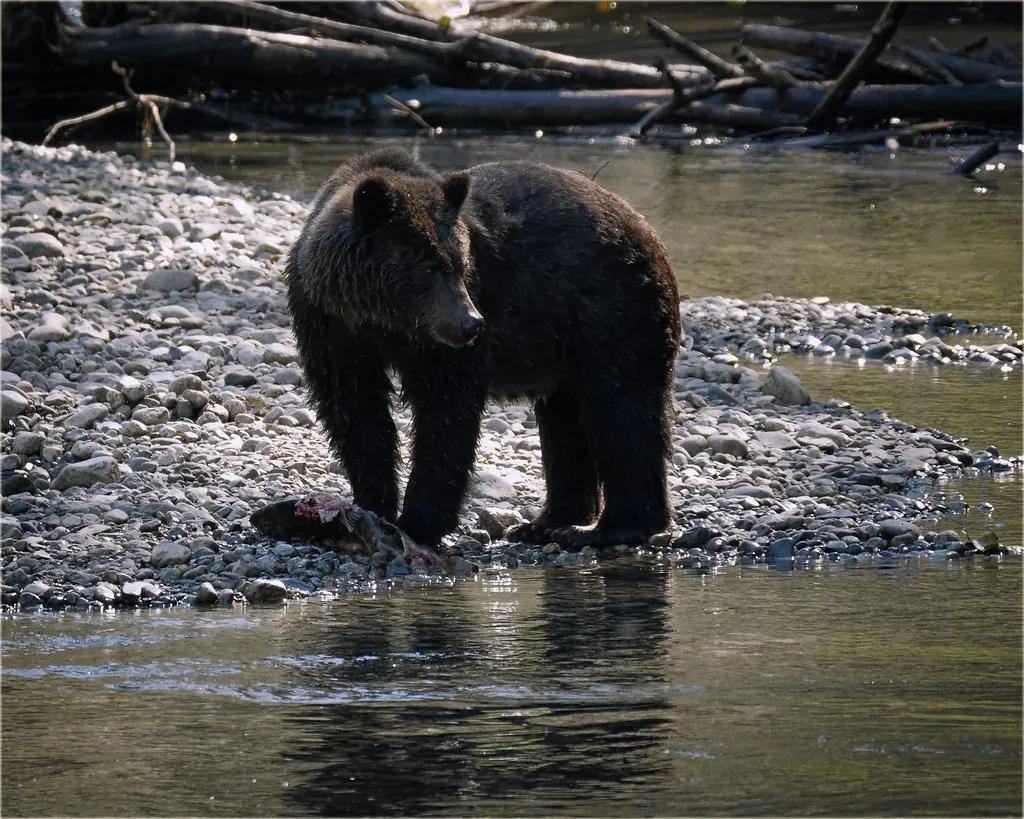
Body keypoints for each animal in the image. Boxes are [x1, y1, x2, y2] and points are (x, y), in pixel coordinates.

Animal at [285, 148, 681, 550]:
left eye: (460, 265)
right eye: (429, 267)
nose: (471, 323)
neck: (378, 318)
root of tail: (645, 228)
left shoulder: (441, 341)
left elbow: (445, 410)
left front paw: (419, 521)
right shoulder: (327, 325)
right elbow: (354, 408)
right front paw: (371, 506)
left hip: (608, 310)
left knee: (621, 407)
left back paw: (614, 526)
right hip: (564, 345)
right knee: (565, 420)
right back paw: (548, 522)